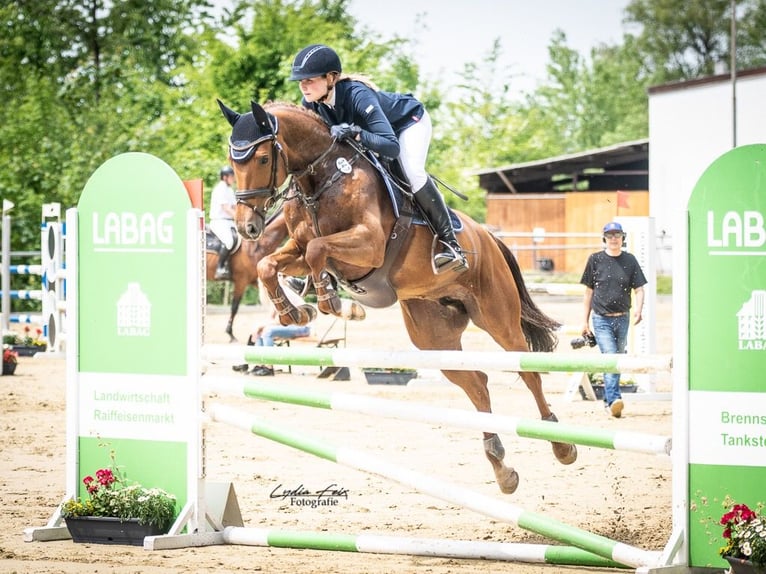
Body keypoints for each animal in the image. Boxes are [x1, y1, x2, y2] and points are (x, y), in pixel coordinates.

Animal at [216, 99, 576, 496]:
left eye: (263, 158)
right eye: (233, 160)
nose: (248, 227)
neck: (320, 179)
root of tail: (489, 237)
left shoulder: (368, 244)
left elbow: (316, 249)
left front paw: (330, 300)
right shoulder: (295, 246)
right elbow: (271, 263)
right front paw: (296, 312)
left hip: (498, 317)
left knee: (528, 372)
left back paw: (561, 444)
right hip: (433, 335)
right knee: (478, 382)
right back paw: (501, 467)